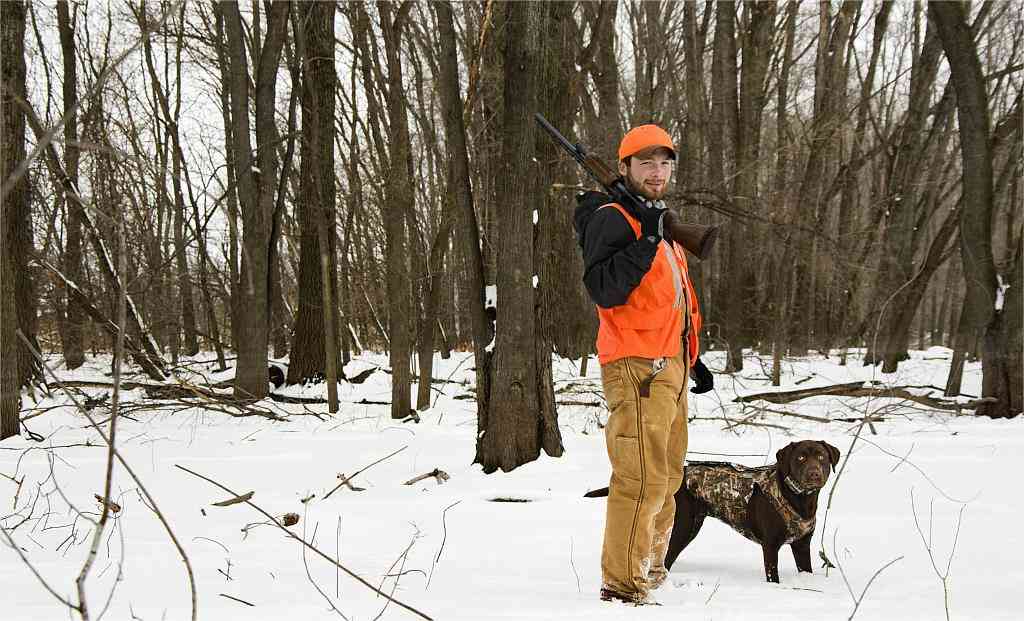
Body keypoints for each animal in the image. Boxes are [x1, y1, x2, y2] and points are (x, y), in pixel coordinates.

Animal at [585, 442, 839, 582]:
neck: (800, 499)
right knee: (665, 557)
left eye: (822, 457)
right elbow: (772, 576)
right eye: (801, 457)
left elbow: (806, 569)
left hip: (690, 526)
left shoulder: (802, 545)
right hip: (682, 527)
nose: (814, 473)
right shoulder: (770, 546)